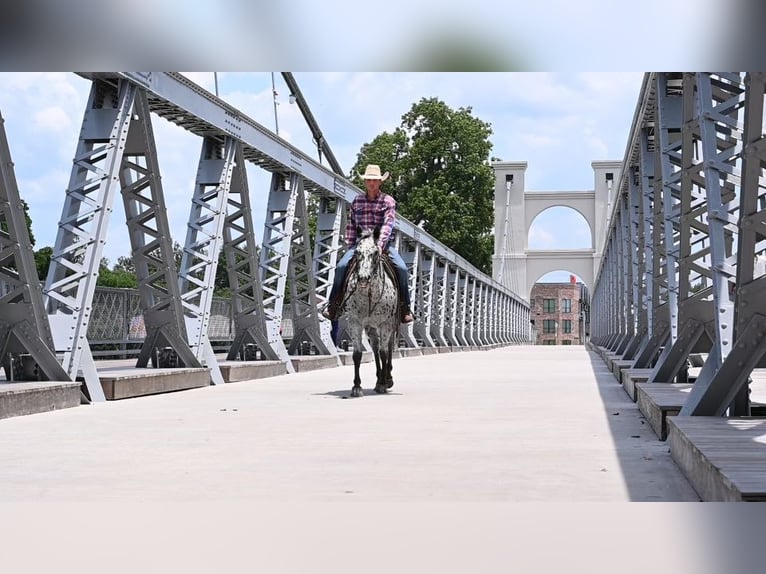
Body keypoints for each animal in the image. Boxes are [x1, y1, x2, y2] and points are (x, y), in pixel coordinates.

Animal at [344, 227, 402, 398]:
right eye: (357, 252)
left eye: (375, 253)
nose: (363, 278)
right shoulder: (355, 322)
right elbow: (357, 354)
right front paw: (357, 386)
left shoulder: (386, 323)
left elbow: (384, 352)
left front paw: (384, 383)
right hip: (371, 327)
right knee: (375, 348)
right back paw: (378, 378)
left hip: (390, 325)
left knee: (387, 347)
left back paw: (387, 378)